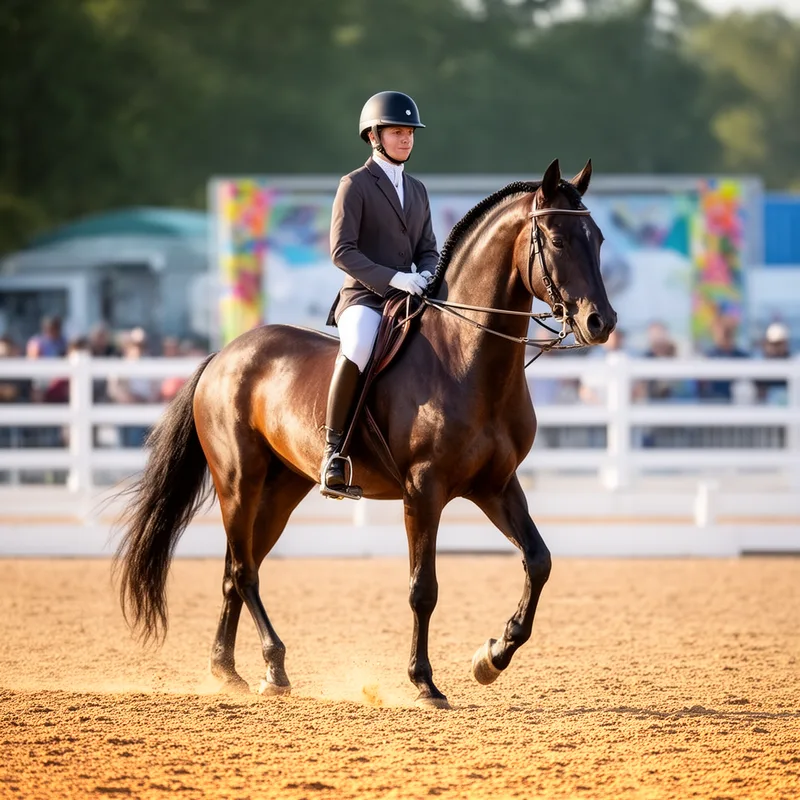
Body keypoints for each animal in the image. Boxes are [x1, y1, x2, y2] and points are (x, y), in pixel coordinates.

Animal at [116, 158, 616, 709]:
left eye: (597, 238)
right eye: (557, 239)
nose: (602, 322)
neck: (466, 357)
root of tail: (224, 355)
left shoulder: (495, 485)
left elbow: (539, 560)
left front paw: (492, 657)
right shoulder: (424, 490)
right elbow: (424, 588)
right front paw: (424, 682)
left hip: (282, 488)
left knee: (235, 571)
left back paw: (229, 670)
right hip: (238, 483)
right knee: (244, 571)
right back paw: (274, 665)